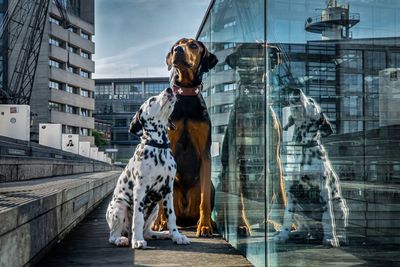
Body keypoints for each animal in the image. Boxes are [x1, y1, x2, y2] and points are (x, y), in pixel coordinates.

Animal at [104, 88, 189, 249]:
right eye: (151, 100)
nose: (169, 89)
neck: (158, 147)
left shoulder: (168, 190)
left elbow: (171, 217)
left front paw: (176, 236)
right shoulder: (140, 189)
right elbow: (137, 218)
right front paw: (137, 240)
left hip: (155, 208)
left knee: (147, 232)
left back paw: (162, 234)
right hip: (119, 206)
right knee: (113, 235)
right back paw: (122, 239)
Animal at [276, 89, 350, 248]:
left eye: (311, 101)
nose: (296, 90)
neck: (303, 146)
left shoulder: (324, 190)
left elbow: (328, 217)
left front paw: (330, 238)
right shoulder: (291, 192)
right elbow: (287, 218)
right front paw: (283, 235)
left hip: (340, 203)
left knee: (341, 226)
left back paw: (340, 236)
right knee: (304, 229)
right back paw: (295, 233)